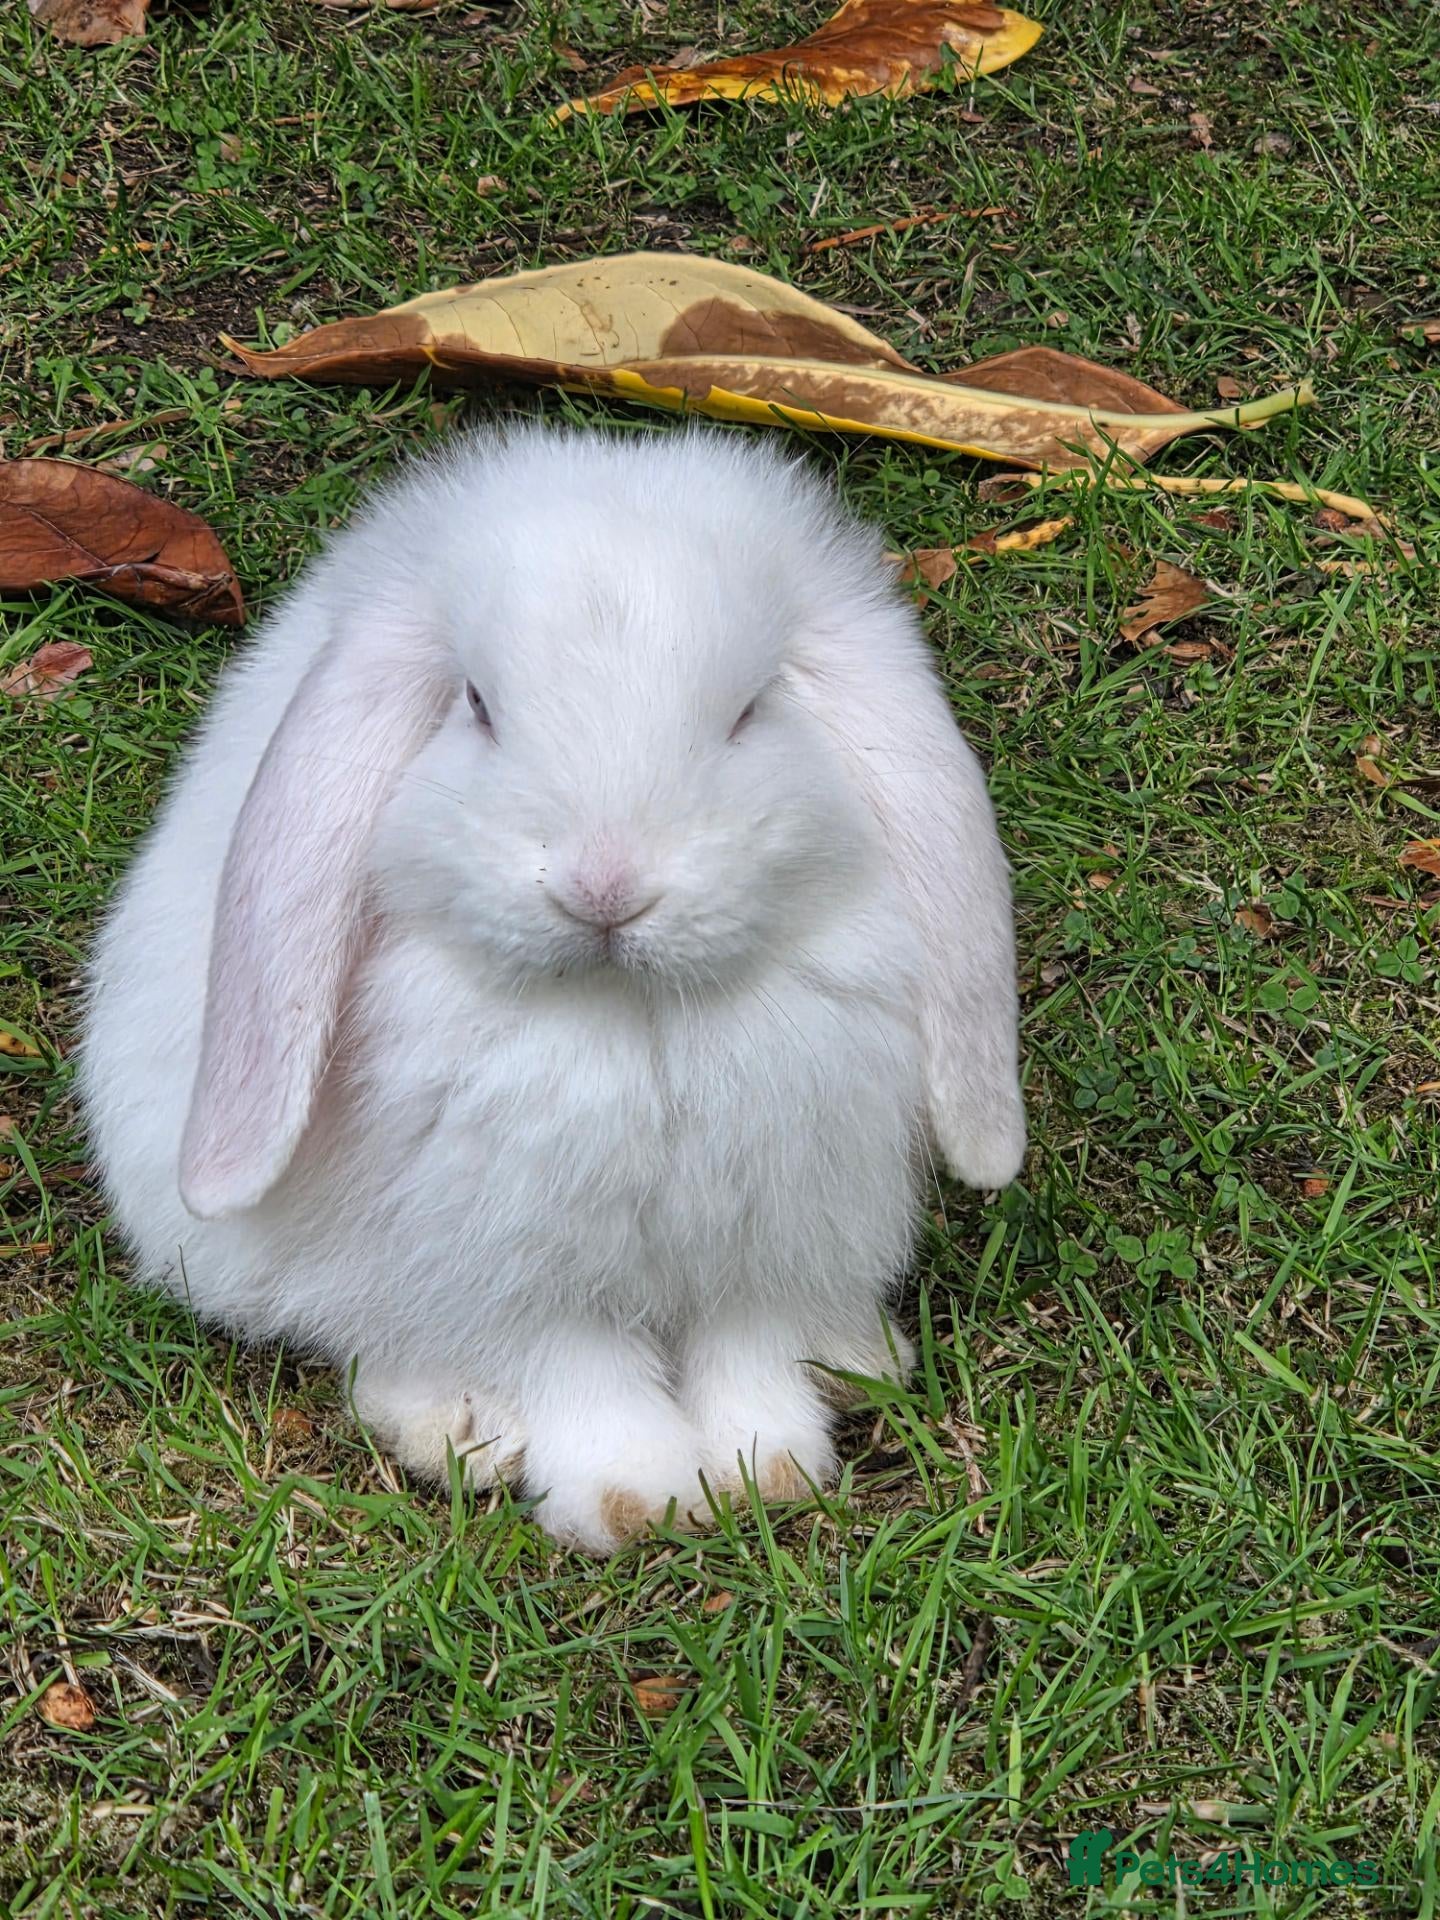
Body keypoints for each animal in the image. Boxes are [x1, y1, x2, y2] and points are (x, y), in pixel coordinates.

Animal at [78, 424, 1025, 1554]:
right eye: (478, 707)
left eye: (752, 711)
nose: (603, 887)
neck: (631, 1016)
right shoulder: (520, 1269)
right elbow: (580, 1372)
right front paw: (640, 1500)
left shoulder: (769, 1235)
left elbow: (749, 1347)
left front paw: (766, 1471)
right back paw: (459, 1428)